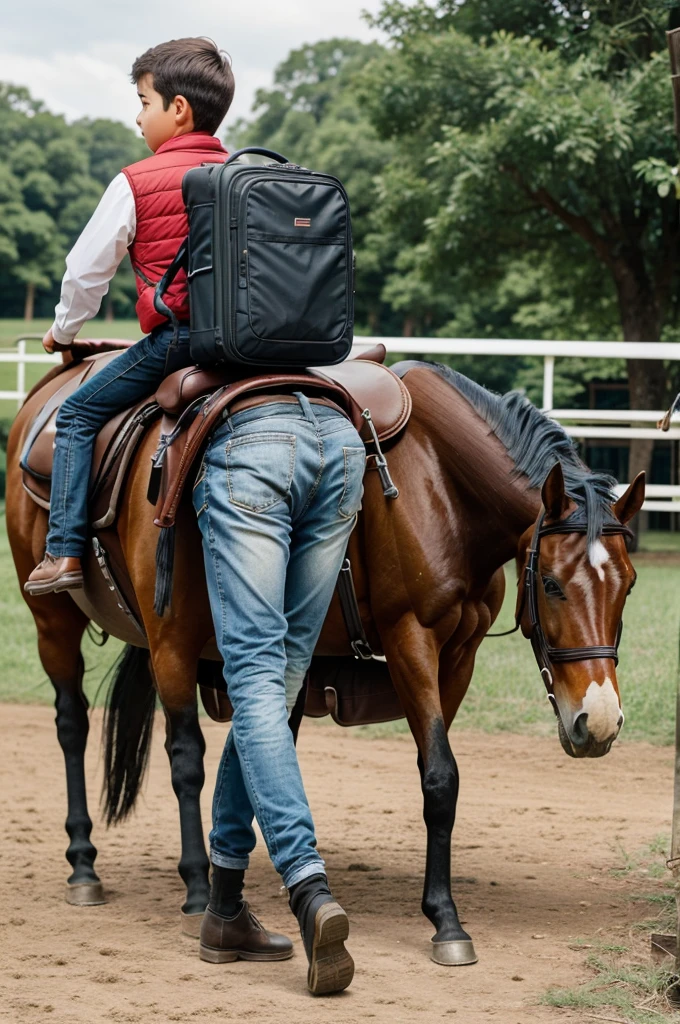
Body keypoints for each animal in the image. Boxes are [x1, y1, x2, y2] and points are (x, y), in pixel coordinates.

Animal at [5, 356, 643, 962]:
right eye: (553, 585)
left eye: (630, 586)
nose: (599, 720)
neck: (437, 481)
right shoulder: (411, 640)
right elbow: (440, 776)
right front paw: (446, 921)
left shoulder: (458, 657)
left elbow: (438, 781)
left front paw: (436, 904)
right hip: (107, 631)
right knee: (108, 735)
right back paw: (118, 871)